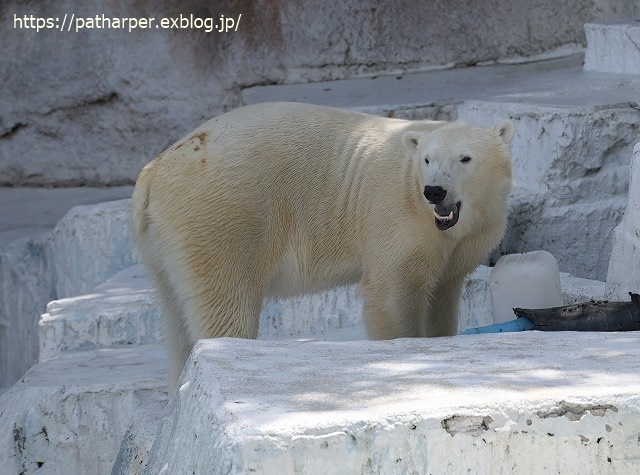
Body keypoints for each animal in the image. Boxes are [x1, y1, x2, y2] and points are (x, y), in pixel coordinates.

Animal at [131, 101, 516, 386]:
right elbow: (392, 292)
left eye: (465, 158)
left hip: (163, 243)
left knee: (176, 314)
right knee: (225, 302)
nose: (434, 191)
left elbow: (444, 293)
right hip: (222, 215)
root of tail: (154, 170)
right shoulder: (396, 213)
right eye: (427, 160)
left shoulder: (464, 239)